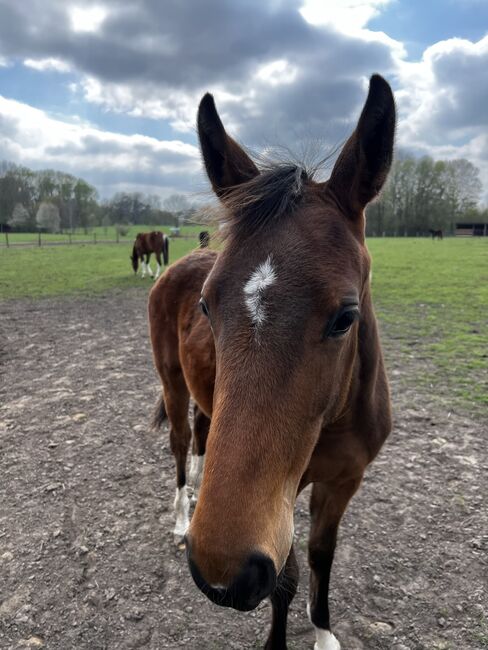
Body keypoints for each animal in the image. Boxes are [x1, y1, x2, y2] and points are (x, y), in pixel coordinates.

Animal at [149, 73, 396, 644]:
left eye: (345, 317)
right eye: (206, 305)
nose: (222, 574)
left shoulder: (343, 481)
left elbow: (321, 554)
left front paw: (323, 630)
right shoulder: (280, 502)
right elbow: (286, 576)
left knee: (201, 434)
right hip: (171, 383)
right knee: (180, 442)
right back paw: (181, 514)